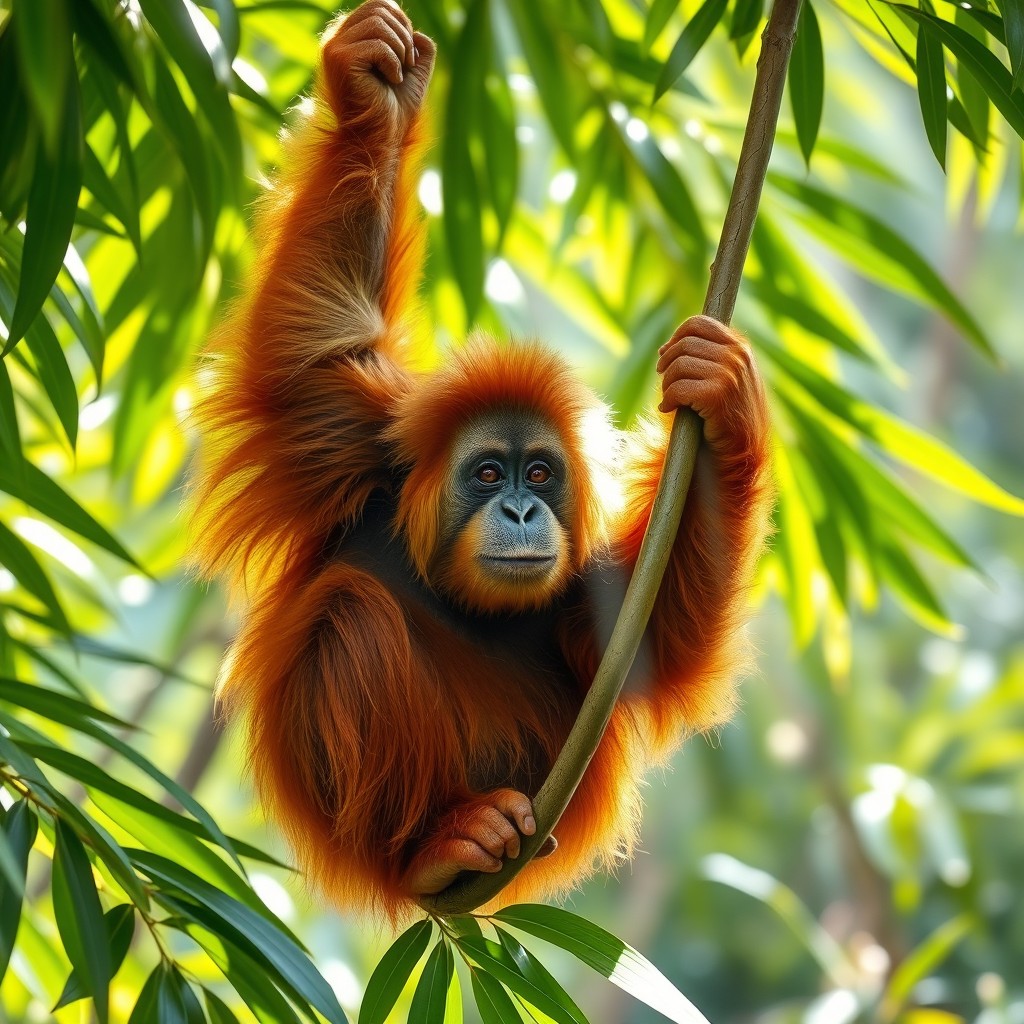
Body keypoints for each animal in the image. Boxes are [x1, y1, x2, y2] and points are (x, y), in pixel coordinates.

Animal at [189, 0, 772, 920]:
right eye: (489, 474)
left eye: (540, 475)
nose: (523, 510)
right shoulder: (346, 433)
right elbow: (323, 339)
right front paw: (373, 95)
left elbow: (653, 647)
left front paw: (719, 394)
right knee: (350, 614)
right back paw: (437, 847)